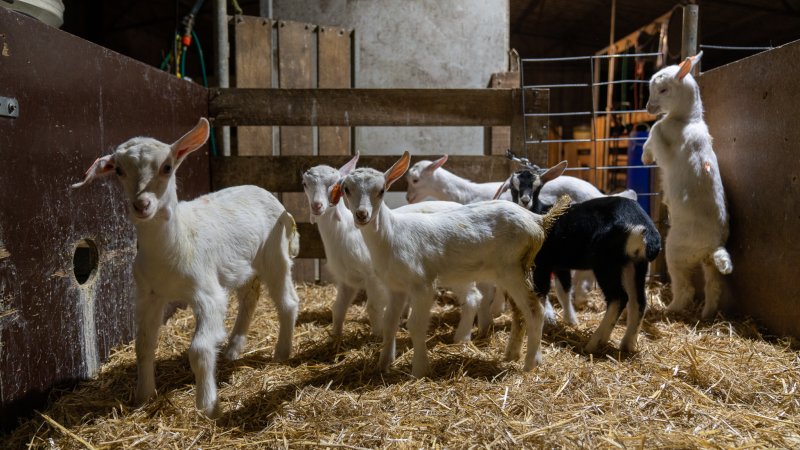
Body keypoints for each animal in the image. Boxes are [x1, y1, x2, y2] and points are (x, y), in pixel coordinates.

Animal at [71, 118, 300, 416]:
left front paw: (207, 406)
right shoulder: (148, 295)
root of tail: (268, 194)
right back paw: (233, 349)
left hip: (276, 255)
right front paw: (143, 396)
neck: (175, 243)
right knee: (249, 297)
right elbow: (144, 345)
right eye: (119, 170)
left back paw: (281, 353)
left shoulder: (207, 294)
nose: (141, 204)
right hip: (241, 267)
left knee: (287, 302)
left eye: (167, 167)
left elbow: (199, 350)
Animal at [332, 151, 568, 376]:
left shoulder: (422, 284)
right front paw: (383, 365)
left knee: (534, 309)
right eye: (346, 189)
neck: (392, 235)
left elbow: (415, 326)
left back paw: (530, 364)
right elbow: (390, 323)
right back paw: (514, 355)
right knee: (520, 312)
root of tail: (537, 220)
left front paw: (419, 370)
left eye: (381, 190)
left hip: (513, 269)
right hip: (510, 271)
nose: (362, 215)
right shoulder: (396, 287)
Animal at [644, 51, 732, 320]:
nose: (648, 108)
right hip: (708, 264)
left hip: (676, 250)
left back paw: (669, 308)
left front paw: (645, 157)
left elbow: (654, 131)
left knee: (686, 289)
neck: (687, 120)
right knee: (714, 286)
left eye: (663, 90)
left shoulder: (665, 142)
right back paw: (707, 314)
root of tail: (713, 246)